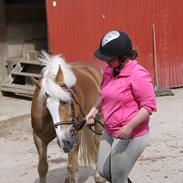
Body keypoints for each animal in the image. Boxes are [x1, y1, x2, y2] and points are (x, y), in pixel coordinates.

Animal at [31, 51, 104, 183]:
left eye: (66, 101)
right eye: (46, 105)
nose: (65, 139)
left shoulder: (74, 135)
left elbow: (72, 166)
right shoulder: (38, 137)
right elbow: (42, 167)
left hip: (98, 117)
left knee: (97, 141)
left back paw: (98, 176)